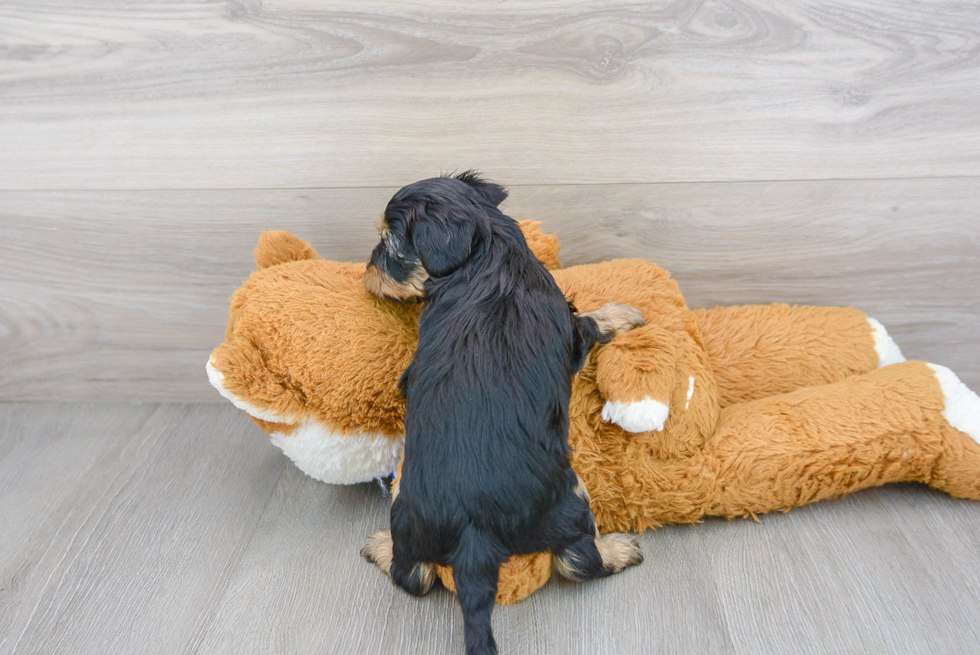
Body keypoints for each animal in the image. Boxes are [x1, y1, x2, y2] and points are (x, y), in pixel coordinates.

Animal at [364, 172, 648, 652]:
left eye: (387, 247)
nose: (365, 271)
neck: (488, 253)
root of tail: (473, 534)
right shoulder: (571, 332)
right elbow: (592, 322)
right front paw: (621, 313)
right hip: (569, 500)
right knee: (577, 561)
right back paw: (619, 551)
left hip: (408, 511)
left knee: (414, 574)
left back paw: (381, 547)